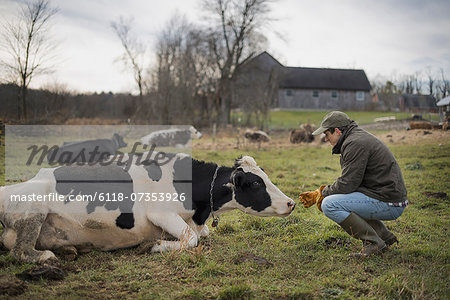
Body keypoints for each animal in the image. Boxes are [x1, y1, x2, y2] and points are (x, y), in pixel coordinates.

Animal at [0, 154, 296, 264]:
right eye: (256, 183)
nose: (291, 203)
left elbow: (201, 235)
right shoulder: (160, 212)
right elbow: (192, 239)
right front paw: (153, 246)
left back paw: (70, 249)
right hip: (33, 207)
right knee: (20, 251)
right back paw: (48, 256)